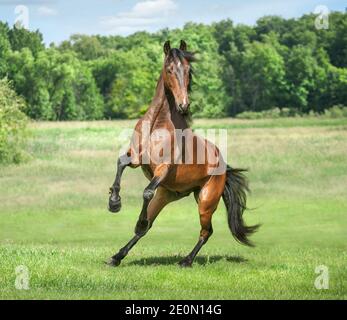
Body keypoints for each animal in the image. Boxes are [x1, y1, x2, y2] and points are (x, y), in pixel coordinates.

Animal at [107, 40, 260, 268]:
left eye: (188, 71)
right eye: (170, 69)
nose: (183, 104)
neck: (156, 125)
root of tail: (224, 166)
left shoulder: (163, 169)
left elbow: (146, 192)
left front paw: (128, 213)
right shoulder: (135, 157)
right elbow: (120, 163)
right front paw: (114, 202)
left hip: (205, 201)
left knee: (206, 231)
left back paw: (186, 261)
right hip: (168, 194)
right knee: (148, 227)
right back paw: (116, 256)